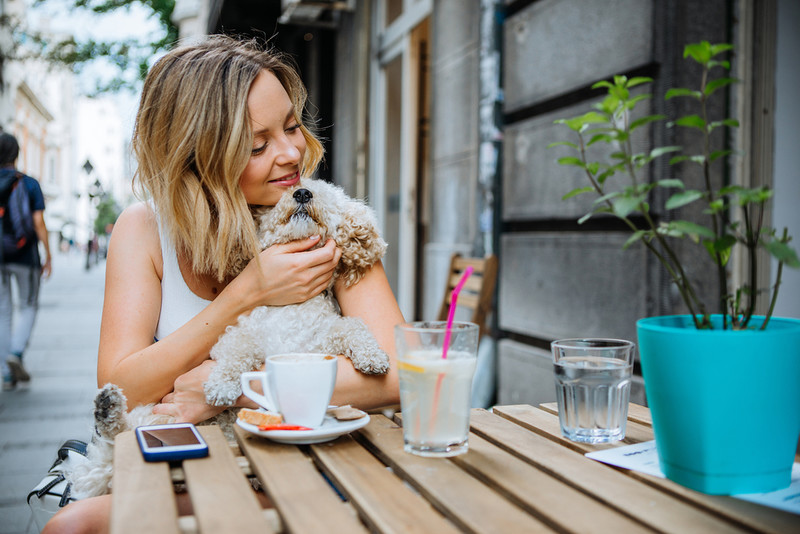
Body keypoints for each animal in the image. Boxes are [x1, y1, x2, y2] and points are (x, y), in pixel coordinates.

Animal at [68, 180, 390, 502]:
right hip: (159, 416)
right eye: (283, 196)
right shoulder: (238, 335)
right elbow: (237, 353)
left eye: (324, 195)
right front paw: (221, 385)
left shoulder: (320, 337)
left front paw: (373, 356)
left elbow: (354, 327)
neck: (293, 309)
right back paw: (108, 409)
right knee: (124, 435)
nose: (302, 194)